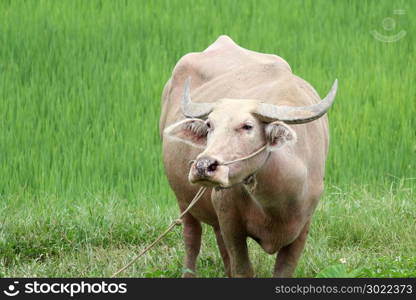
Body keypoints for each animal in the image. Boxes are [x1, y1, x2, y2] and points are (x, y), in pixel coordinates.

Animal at [159, 34, 338, 276]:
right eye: (209, 125)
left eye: (247, 126)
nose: (203, 166)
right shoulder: (231, 223)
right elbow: (242, 268)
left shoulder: (302, 230)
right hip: (183, 198)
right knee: (192, 238)